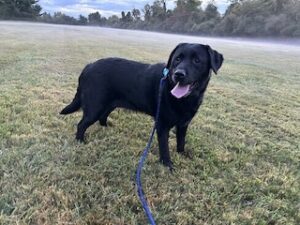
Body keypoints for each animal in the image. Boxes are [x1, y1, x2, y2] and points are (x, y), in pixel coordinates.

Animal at [60, 43, 223, 168]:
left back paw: (106, 128)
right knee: (81, 124)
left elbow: (181, 142)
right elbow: (164, 148)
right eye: (177, 59)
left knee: (102, 117)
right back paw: (80, 141)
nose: (178, 74)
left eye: (197, 60)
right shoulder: (162, 125)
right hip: (95, 106)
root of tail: (88, 66)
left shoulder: (183, 124)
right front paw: (167, 166)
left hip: (109, 104)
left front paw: (182, 155)